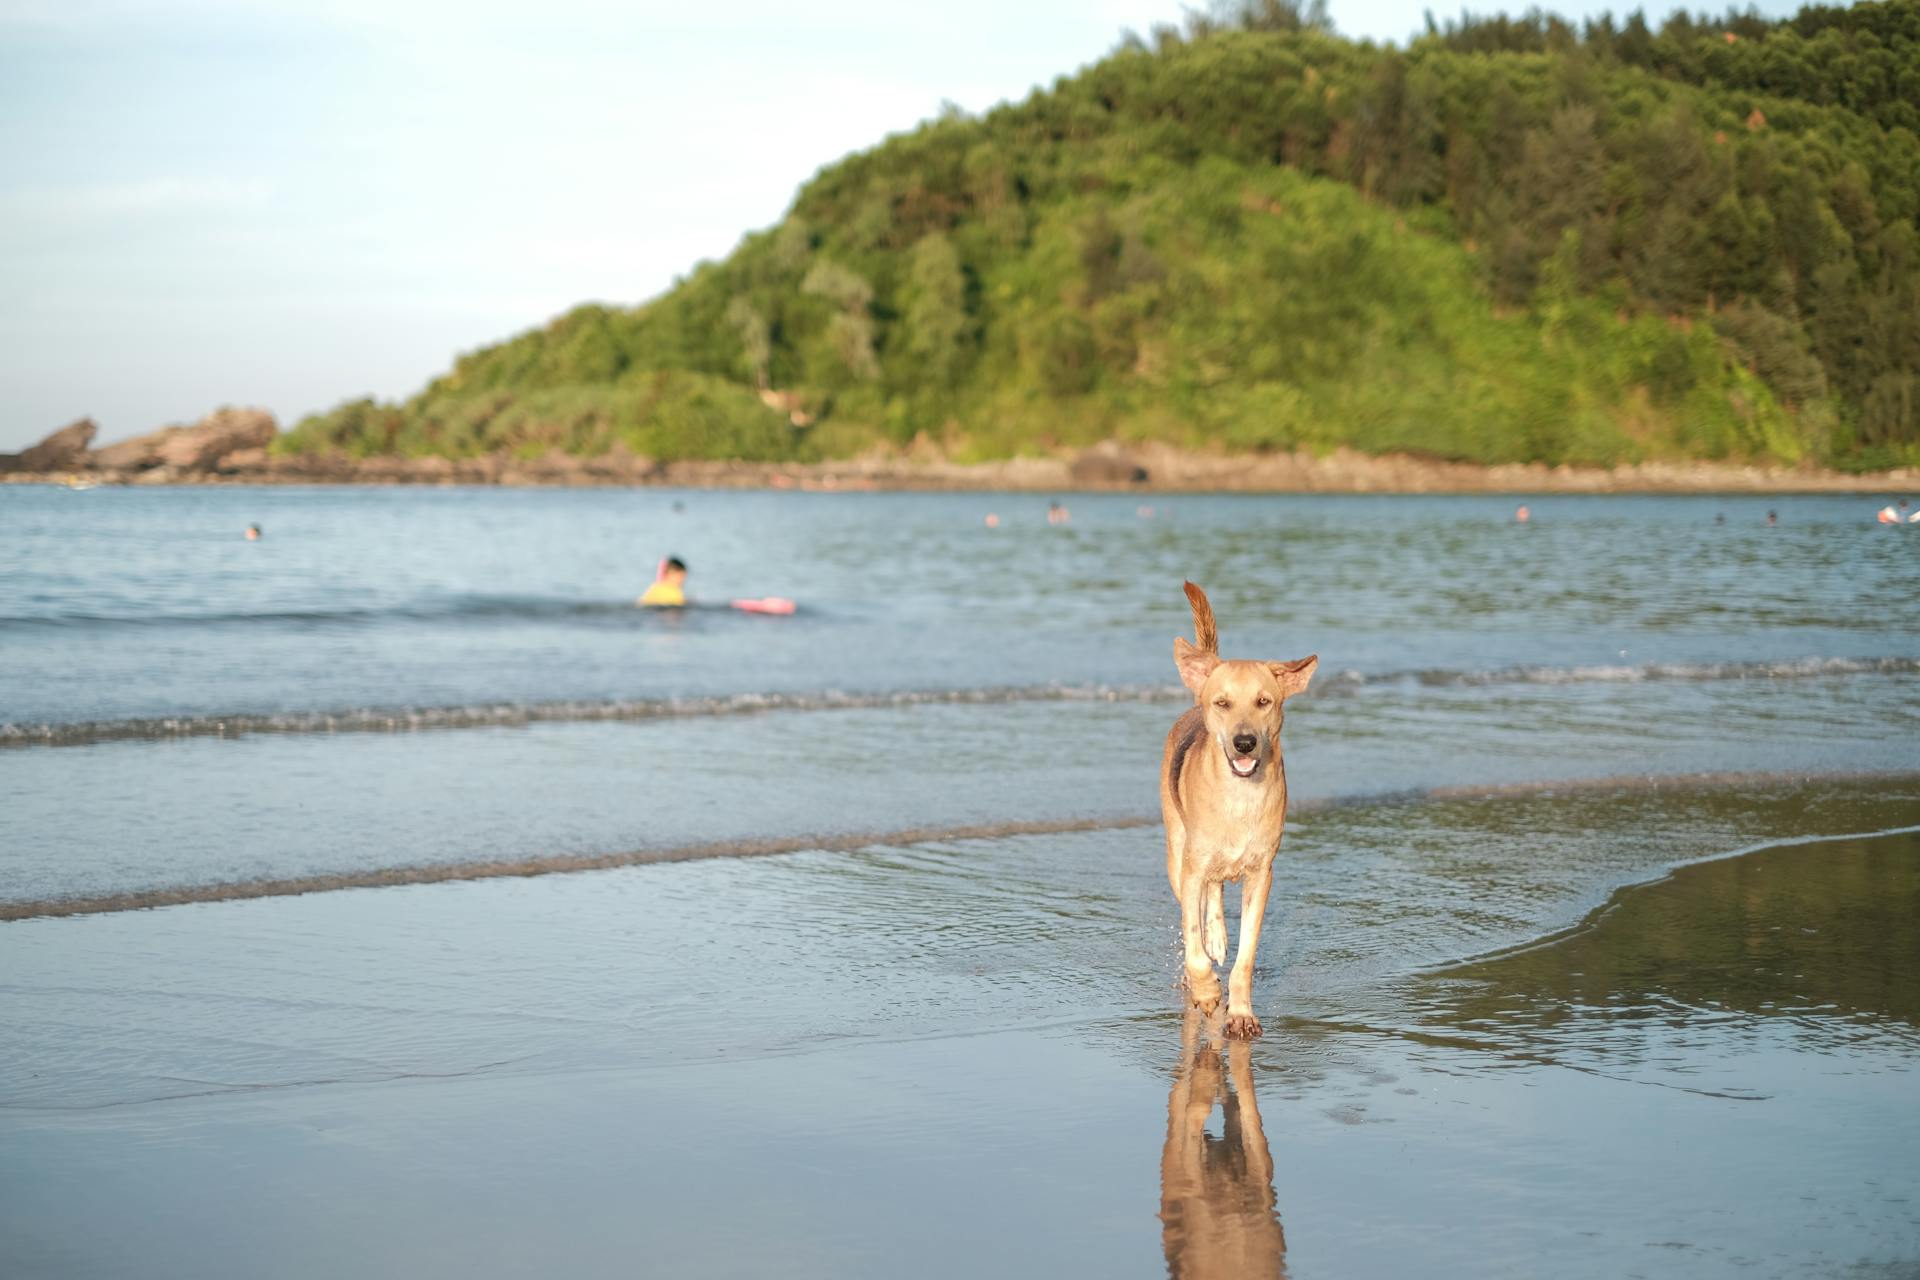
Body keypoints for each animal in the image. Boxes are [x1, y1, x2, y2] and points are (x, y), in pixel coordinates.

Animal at [1159, 587, 1313, 1036]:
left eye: (1264, 701)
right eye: (1223, 703)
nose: (1245, 743)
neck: (1239, 797)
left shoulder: (1261, 874)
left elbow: (1246, 956)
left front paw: (1240, 1012)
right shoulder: (1192, 868)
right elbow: (1193, 940)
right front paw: (1208, 991)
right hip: (1176, 851)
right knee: (1201, 902)